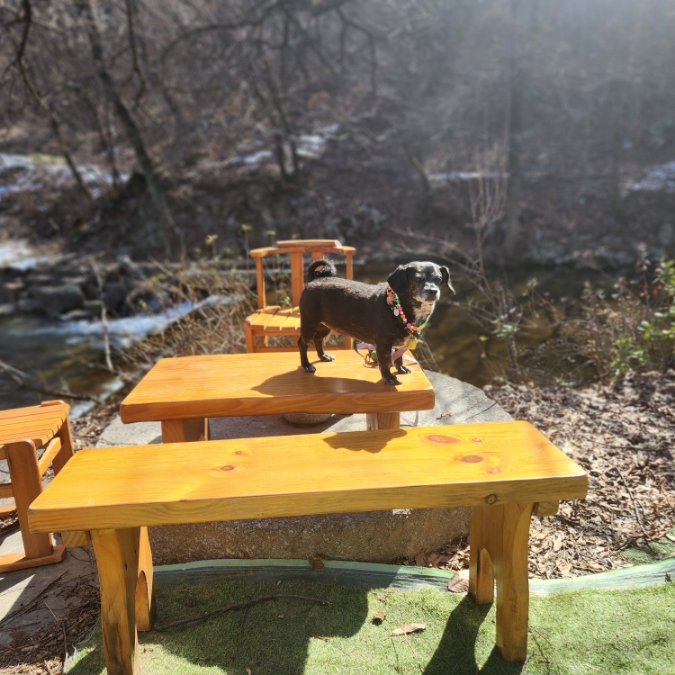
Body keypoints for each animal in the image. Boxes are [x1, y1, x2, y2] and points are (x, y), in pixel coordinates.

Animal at [298, 260, 452, 386]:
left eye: (439, 279)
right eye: (418, 279)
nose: (433, 291)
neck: (398, 307)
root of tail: (314, 280)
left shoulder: (400, 343)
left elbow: (399, 357)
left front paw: (400, 368)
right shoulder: (383, 344)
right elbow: (385, 362)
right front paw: (389, 378)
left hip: (325, 325)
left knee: (318, 339)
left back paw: (323, 356)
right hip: (309, 324)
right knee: (303, 344)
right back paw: (306, 365)